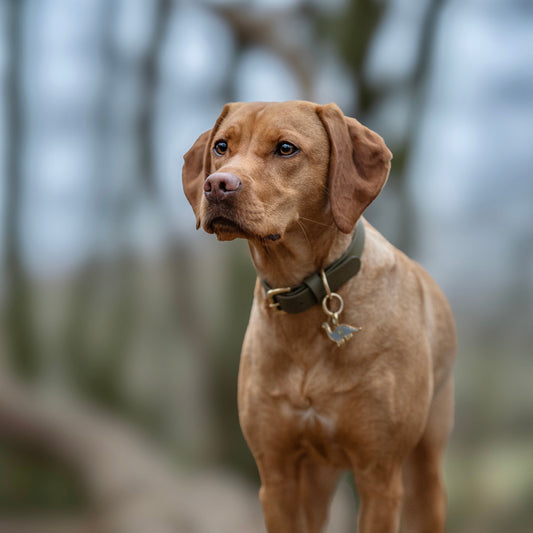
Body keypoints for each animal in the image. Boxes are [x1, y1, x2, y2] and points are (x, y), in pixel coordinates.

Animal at [181, 101, 456, 532]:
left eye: (286, 149)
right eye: (222, 146)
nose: (217, 184)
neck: (304, 292)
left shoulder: (379, 476)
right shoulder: (276, 475)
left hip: (424, 469)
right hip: (315, 478)